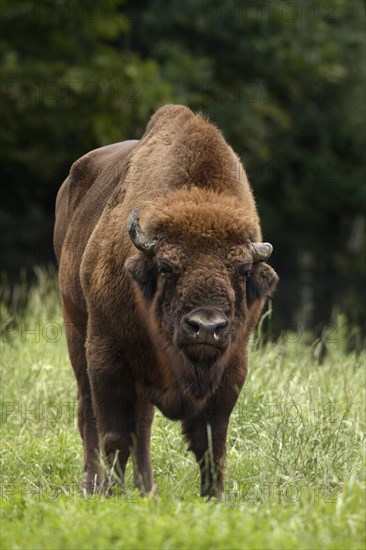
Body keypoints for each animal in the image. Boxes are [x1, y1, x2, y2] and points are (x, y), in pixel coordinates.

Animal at [53, 104, 278, 500]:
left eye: (240, 270)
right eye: (167, 267)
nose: (206, 327)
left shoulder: (232, 366)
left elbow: (211, 444)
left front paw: (214, 498)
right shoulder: (107, 355)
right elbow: (114, 436)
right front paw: (111, 495)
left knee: (142, 426)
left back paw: (147, 490)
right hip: (76, 330)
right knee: (89, 416)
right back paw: (93, 486)